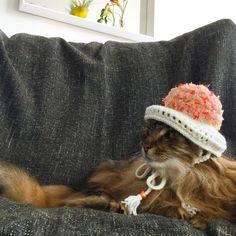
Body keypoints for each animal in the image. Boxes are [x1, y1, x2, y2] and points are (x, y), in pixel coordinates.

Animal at [0, 120, 236, 229]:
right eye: (148, 130)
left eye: (170, 134)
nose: (144, 146)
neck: (181, 176)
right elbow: (168, 207)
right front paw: (183, 213)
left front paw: (196, 218)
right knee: (72, 202)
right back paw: (108, 205)